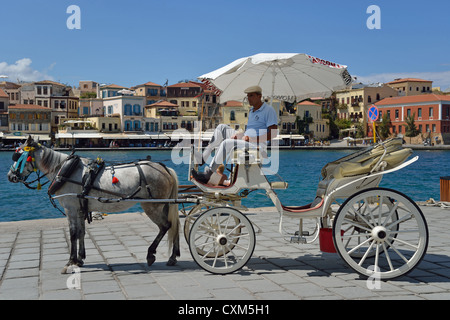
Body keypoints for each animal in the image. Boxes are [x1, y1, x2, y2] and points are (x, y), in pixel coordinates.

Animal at [6, 136, 179, 274]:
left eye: (18, 156)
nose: (10, 176)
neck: (65, 171)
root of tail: (166, 169)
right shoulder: (80, 209)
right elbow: (81, 232)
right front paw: (80, 259)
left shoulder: (71, 209)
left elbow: (73, 234)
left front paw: (70, 262)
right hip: (163, 205)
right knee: (174, 225)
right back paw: (173, 257)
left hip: (152, 206)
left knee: (165, 226)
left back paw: (151, 254)